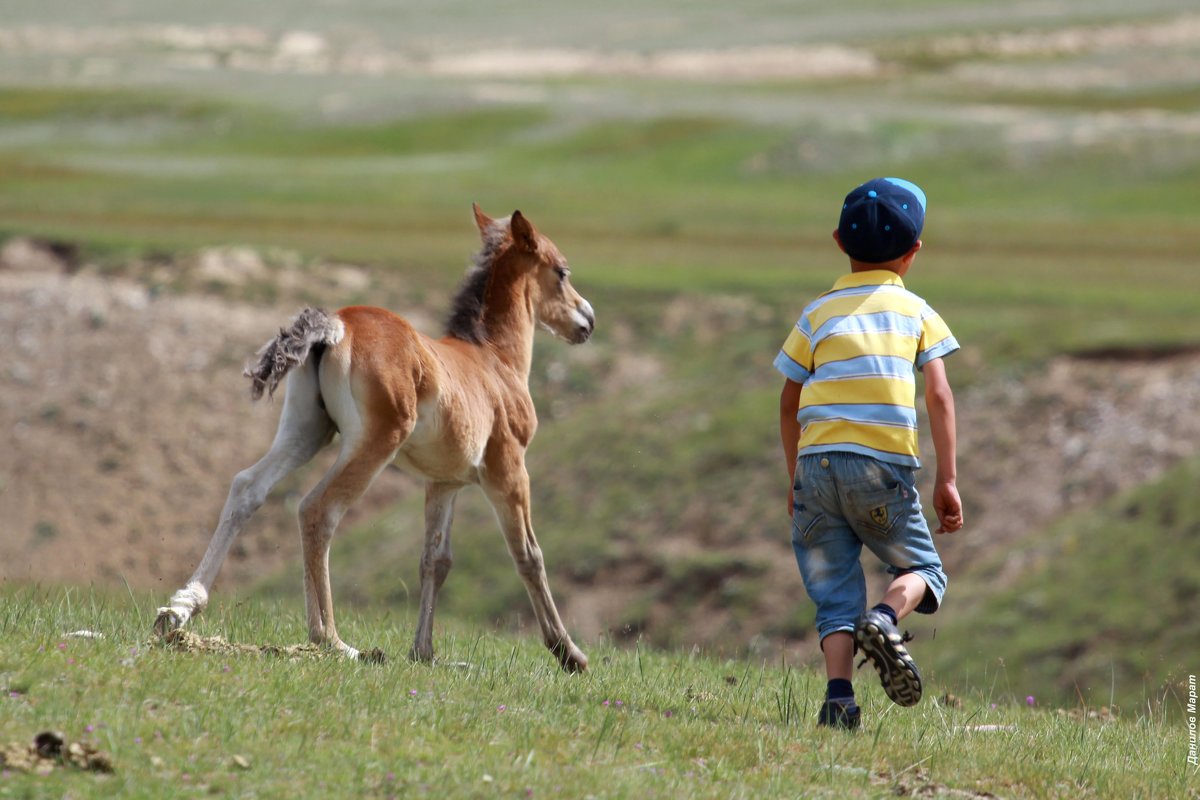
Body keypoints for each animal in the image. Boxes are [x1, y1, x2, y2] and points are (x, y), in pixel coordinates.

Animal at [154, 206, 595, 671]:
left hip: (307, 431)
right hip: (373, 443)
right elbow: (529, 554)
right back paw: (331, 640)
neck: (494, 359)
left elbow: (435, 560)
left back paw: (179, 609)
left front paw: (424, 653)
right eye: (562, 271)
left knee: (248, 488)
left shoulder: (444, 483)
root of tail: (336, 324)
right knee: (318, 510)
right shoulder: (508, 472)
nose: (588, 319)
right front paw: (569, 654)